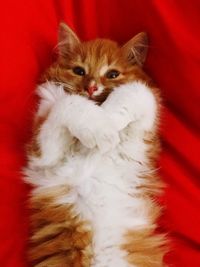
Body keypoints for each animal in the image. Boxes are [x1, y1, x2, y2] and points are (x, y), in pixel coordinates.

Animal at [23, 23, 167, 267]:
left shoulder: (141, 136)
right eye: (79, 71)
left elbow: (137, 92)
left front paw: (108, 119)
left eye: (112, 74)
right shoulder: (42, 154)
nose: (91, 88)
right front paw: (100, 128)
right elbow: (69, 103)